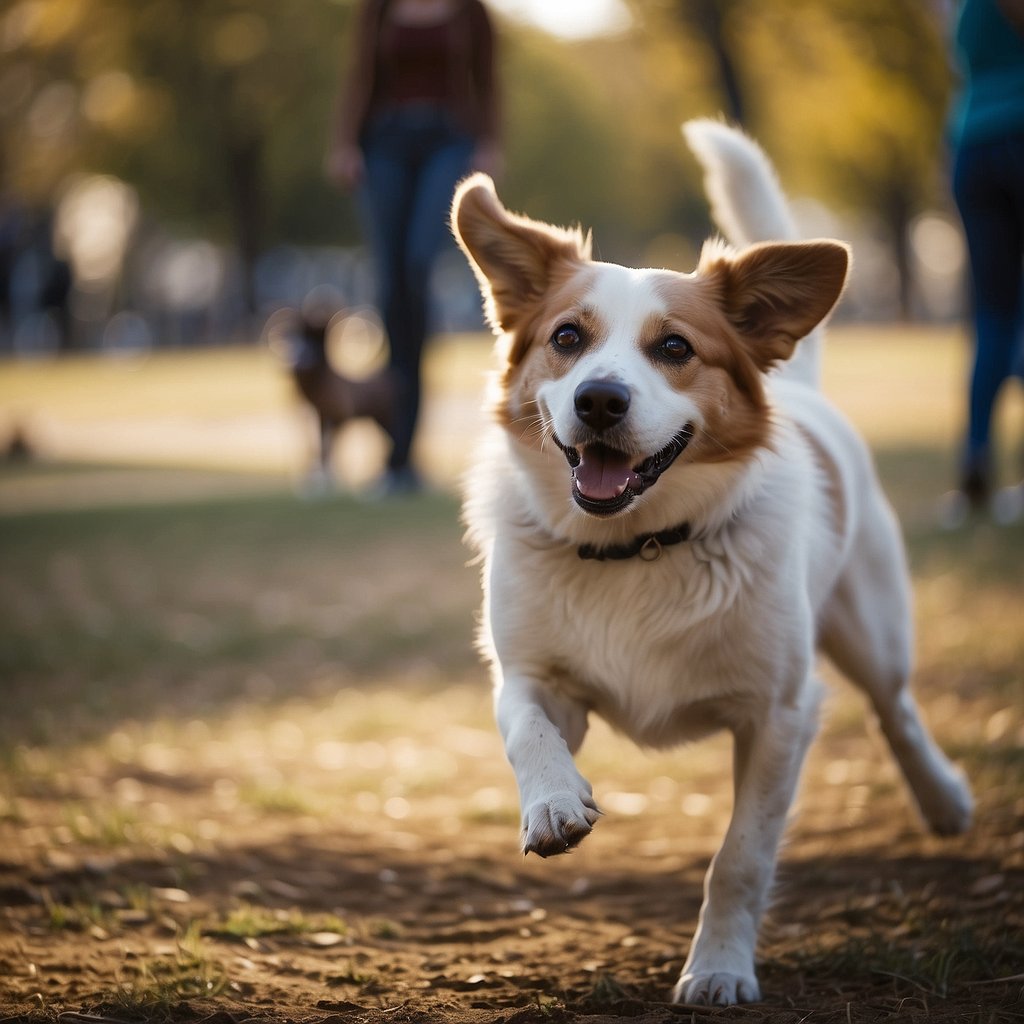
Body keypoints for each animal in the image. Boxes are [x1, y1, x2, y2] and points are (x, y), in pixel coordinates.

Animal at [452, 121, 970, 1007]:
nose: (599, 400)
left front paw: (720, 967)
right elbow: (526, 730)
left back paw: (943, 799)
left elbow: (740, 859)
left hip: (872, 631)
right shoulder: (535, 678)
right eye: (567, 339)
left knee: (896, 711)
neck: (638, 547)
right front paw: (552, 803)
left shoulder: (781, 715)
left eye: (674, 348)